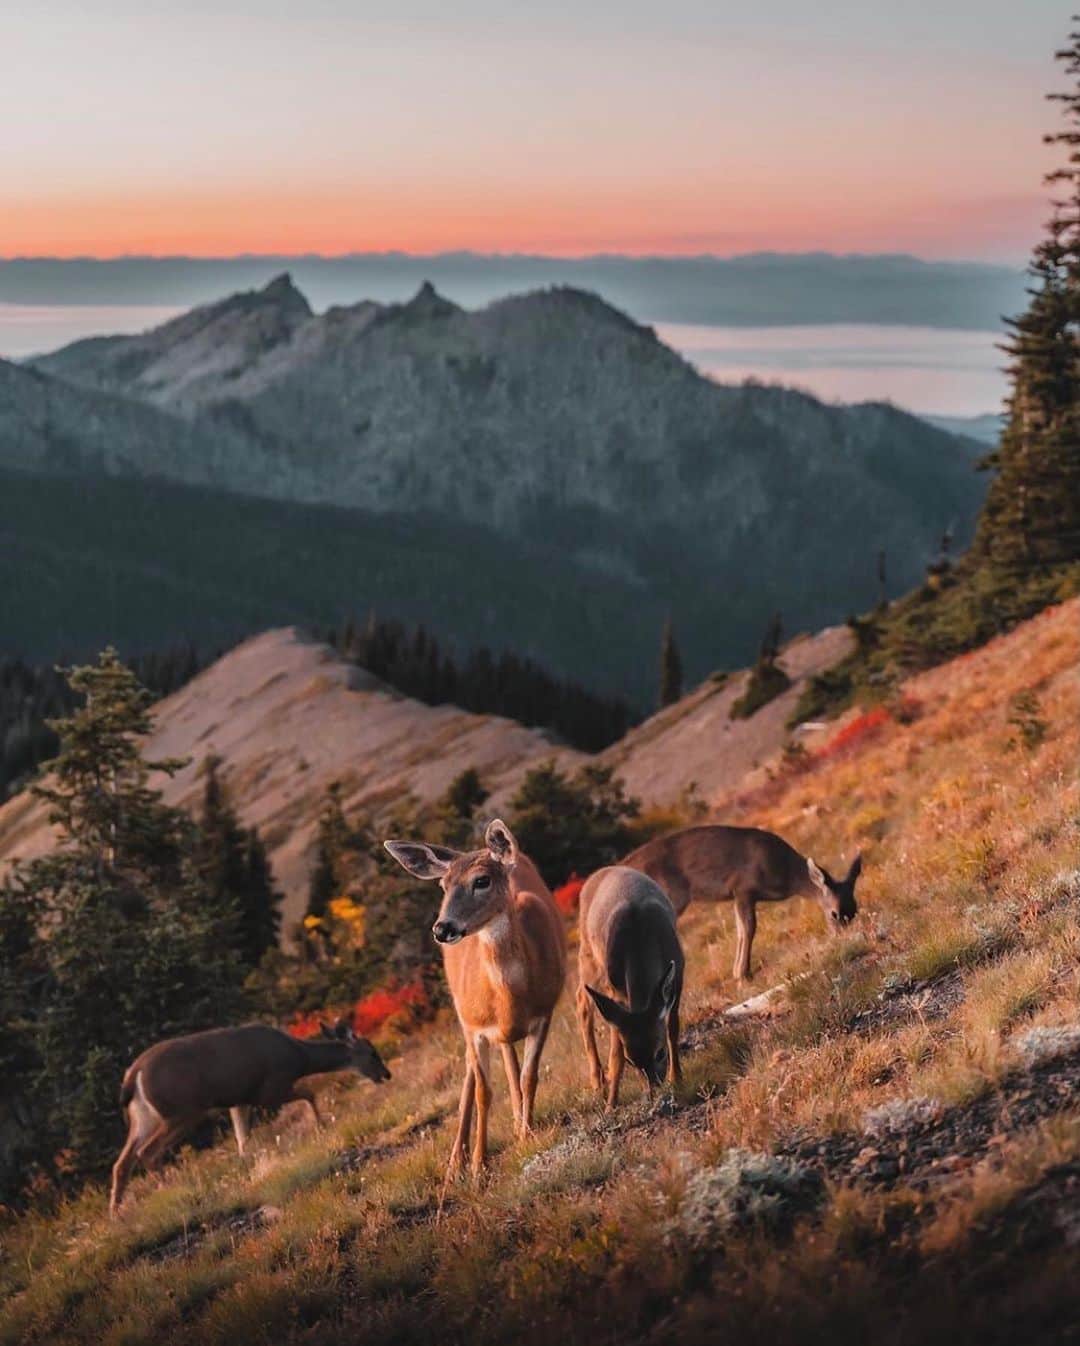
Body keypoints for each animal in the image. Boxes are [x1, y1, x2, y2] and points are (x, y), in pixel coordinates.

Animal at [109, 1021, 390, 1215]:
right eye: (372, 1052)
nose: (386, 1075)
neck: (300, 1057)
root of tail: (133, 1076)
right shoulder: (270, 1088)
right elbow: (309, 1093)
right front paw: (321, 1126)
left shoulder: (240, 1100)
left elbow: (243, 1140)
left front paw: (248, 1170)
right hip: (181, 1110)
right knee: (147, 1152)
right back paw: (173, 1192)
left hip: (144, 1117)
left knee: (122, 1162)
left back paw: (117, 1214)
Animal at [384, 819, 565, 1180]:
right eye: (443, 885)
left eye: (482, 880)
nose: (442, 929)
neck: (510, 997)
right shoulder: (475, 1027)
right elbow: (484, 1092)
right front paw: (479, 1166)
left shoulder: (544, 1012)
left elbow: (529, 1076)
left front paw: (526, 1135)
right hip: (462, 1013)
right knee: (471, 1068)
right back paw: (456, 1160)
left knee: (510, 1065)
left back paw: (517, 1124)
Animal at [577, 865, 684, 1109]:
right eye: (631, 1060)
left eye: (660, 1053)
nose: (654, 1089)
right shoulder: (615, 990)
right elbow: (615, 1051)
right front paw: (611, 1104)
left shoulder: (679, 972)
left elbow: (672, 1028)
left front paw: (677, 1078)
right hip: (588, 955)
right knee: (582, 1002)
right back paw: (597, 1080)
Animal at [622, 825, 861, 983]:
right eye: (834, 913)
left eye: (855, 911)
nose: (844, 939)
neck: (786, 873)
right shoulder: (744, 888)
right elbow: (748, 928)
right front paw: (743, 974)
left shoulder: (738, 895)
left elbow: (739, 930)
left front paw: (738, 972)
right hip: (670, 897)